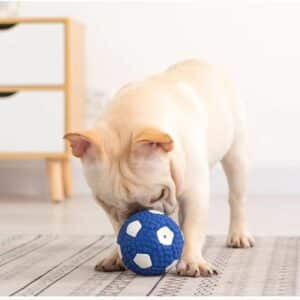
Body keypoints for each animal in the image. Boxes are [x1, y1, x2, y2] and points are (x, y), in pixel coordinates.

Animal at [65, 59, 253, 278]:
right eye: (107, 205)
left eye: (158, 195)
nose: (135, 215)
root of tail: (201, 62)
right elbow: (117, 230)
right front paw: (116, 255)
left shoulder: (194, 193)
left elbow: (193, 226)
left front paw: (192, 261)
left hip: (236, 157)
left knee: (237, 199)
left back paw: (238, 235)